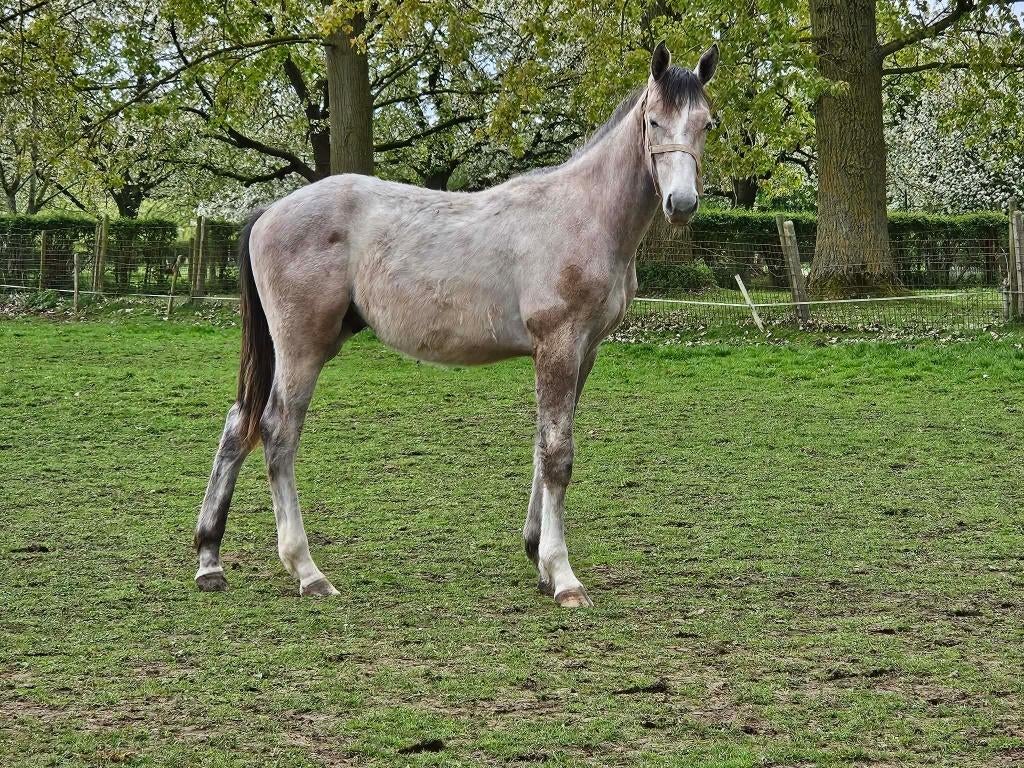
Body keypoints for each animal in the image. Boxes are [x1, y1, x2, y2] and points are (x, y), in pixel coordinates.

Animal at [193, 41, 719, 608]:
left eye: (706, 124)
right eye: (654, 120)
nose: (682, 204)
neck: (582, 215)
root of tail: (269, 212)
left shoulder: (585, 351)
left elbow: (542, 448)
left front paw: (538, 559)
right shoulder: (558, 345)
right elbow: (558, 454)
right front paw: (563, 577)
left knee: (238, 425)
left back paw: (210, 561)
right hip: (302, 348)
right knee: (277, 431)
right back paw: (307, 570)